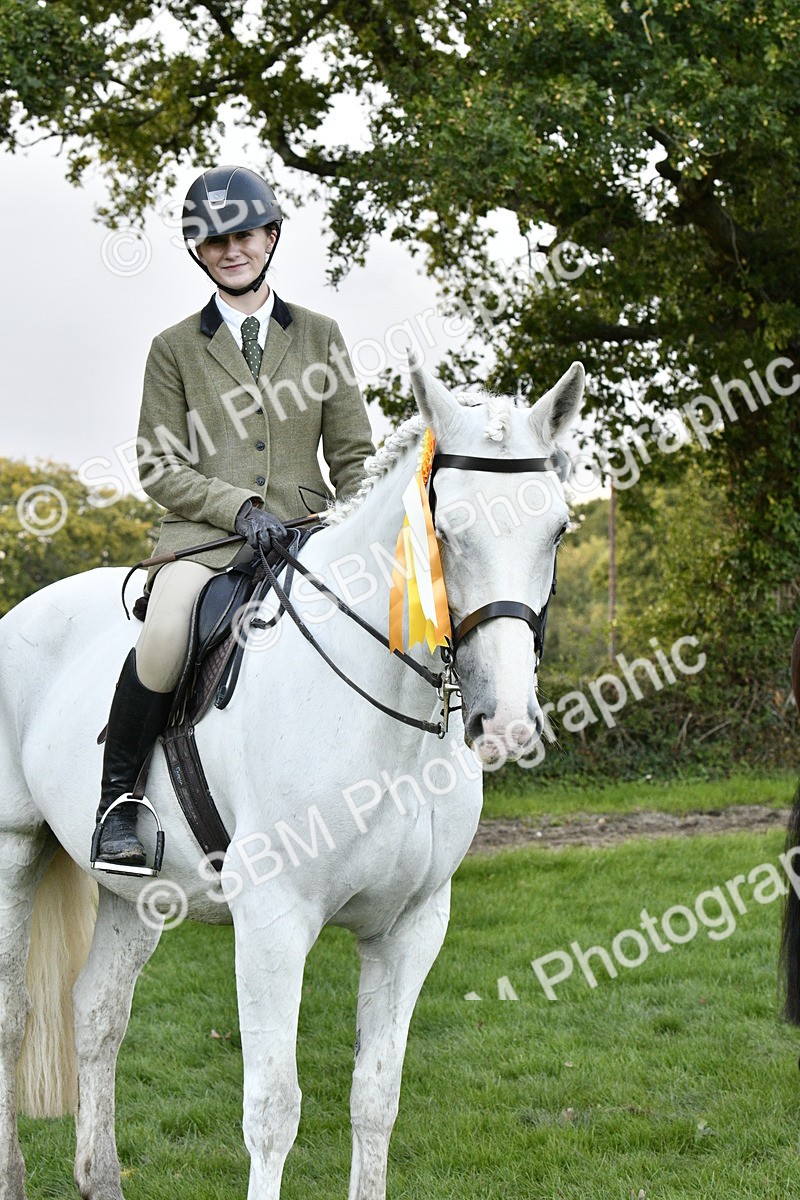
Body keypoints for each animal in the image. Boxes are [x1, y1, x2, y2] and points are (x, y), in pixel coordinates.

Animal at [0, 353, 584, 1200]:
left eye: (558, 528)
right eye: (444, 531)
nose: (504, 721)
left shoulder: (411, 929)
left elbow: (376, 1098)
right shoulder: (274, 922)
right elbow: (274, 1108)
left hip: (138, 892)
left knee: (97, 1013)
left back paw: (100, 1179)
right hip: (13, 847)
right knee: (12, 1014)